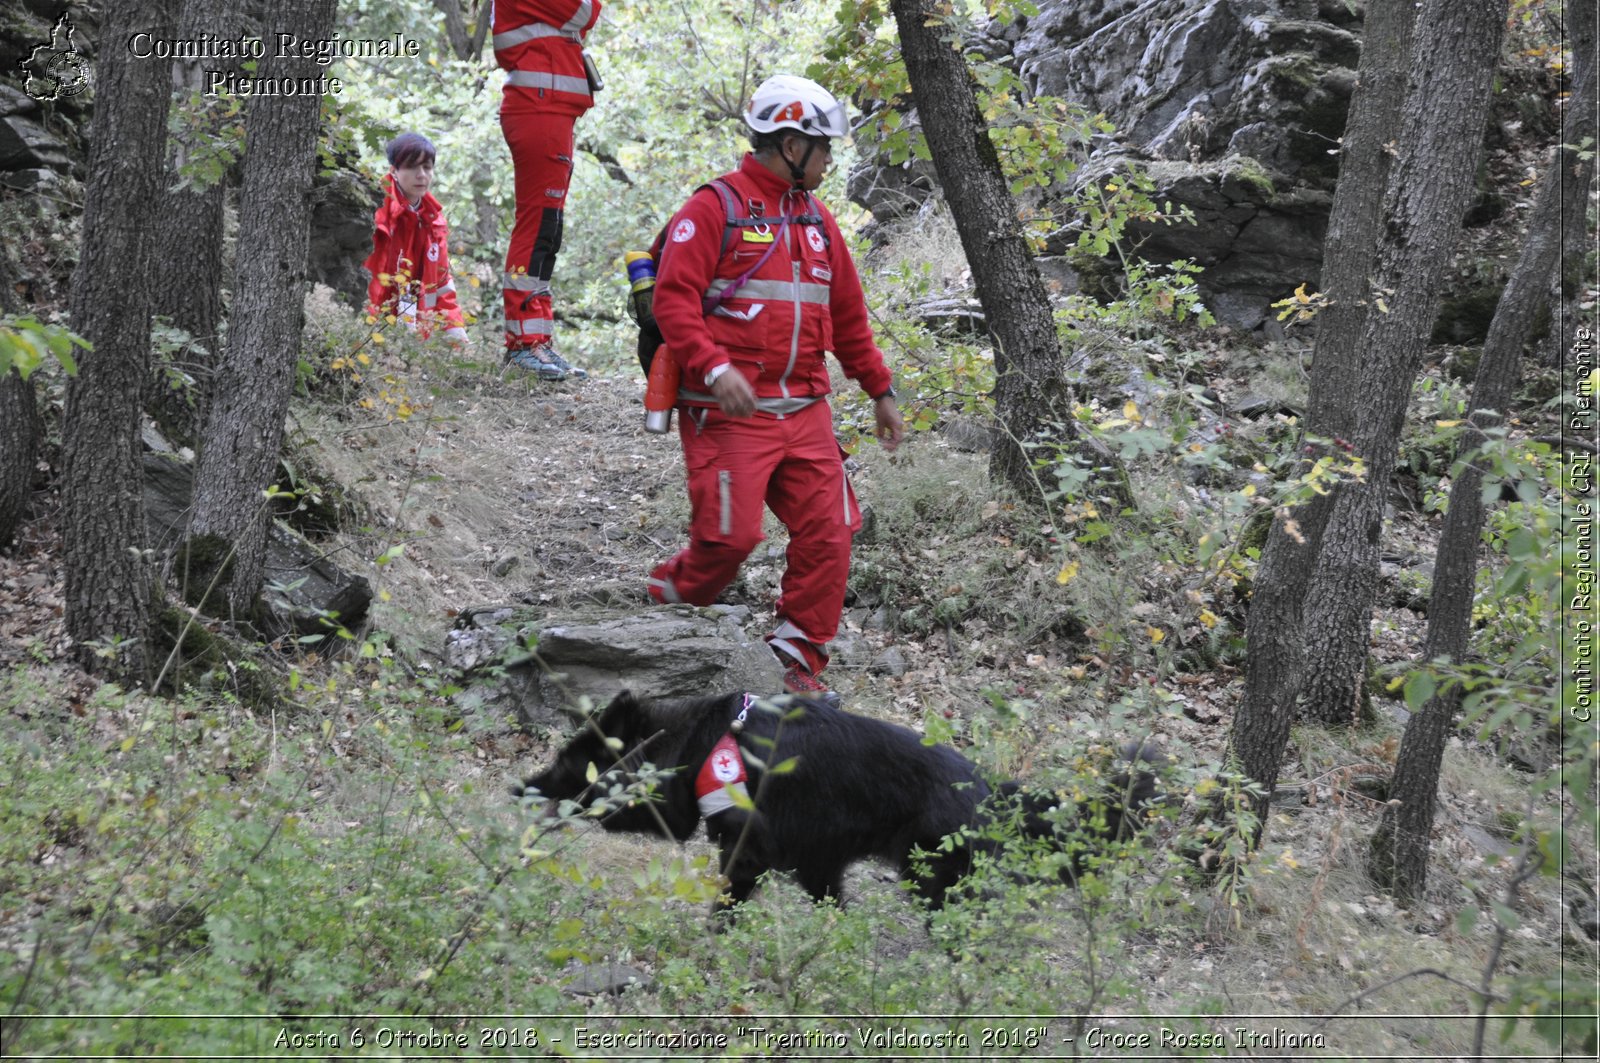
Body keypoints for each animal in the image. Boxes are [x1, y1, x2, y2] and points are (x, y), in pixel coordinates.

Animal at [518, 688, 1158, 915]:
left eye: (569, 766)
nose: (518, 786)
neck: (701, 746)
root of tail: (984, 783)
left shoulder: (748, 856)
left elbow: (724, 909)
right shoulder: (818, 866)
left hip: (932, 881)